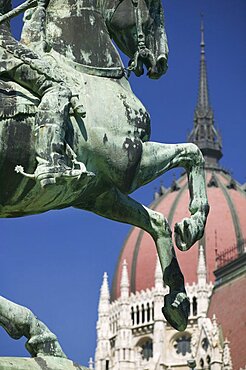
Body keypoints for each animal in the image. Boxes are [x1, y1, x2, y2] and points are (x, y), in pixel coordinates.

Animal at [0, 0, 209, 358]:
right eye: (154, 7)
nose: (161, 61)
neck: (82, 73)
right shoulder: (129, 164)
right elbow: (193, 153)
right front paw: (193, 223)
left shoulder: (96, 192)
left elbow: (157, 221)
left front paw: (178, 300)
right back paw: (37, 332)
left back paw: (38, 333)